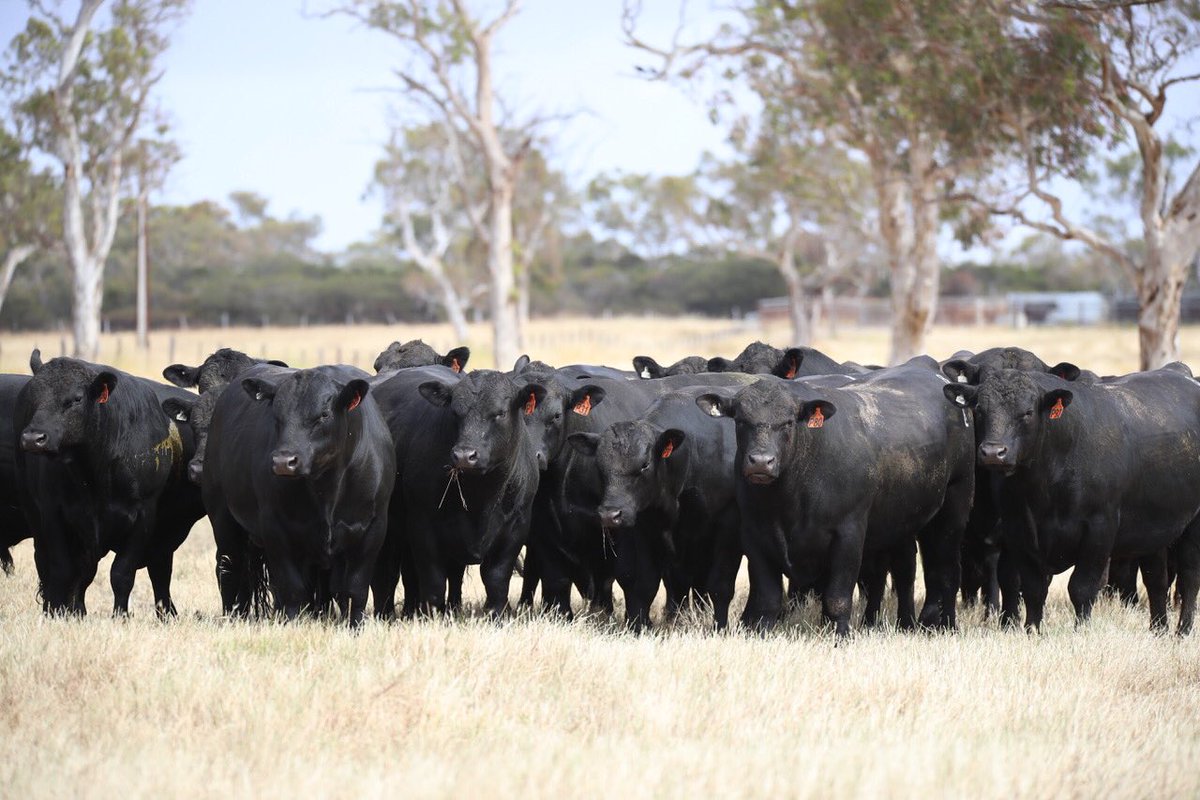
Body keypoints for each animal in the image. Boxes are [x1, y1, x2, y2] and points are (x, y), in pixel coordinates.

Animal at [14, 350, 204, 616]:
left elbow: (121, 573)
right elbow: (63, 570)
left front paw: (120, 616)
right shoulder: (52, 514)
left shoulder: (144, 516)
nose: (33, 438)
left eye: (77, 399)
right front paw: (58, 614)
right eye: (34, 396)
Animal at [568, 386, 742, 629]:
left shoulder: (728, 528)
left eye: (645, 464)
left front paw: (720, 627)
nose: (610, 515)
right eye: (600, 466)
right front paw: (639, 626)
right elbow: (644, 584)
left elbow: (720, 586)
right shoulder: (643, 528)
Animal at [697, 359, 975, 636]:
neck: (790, 499)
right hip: (900, 524)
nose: (761, 462)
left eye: (788, 422)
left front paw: (840, 636)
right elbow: (767, 599)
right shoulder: (755, 535)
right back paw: (904, 623)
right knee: (902, 570)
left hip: (954, 507)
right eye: (741, 421)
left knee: (946, 571)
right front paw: (762, 634)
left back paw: (944, 624)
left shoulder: (848, 535)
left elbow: (837, 598)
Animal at [943, 365, 1200, 633]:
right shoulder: (1019, 530)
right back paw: (1158, 629)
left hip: (1193, 526)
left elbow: (1081, 588)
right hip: (1154, 529)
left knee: (1189, 578)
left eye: (1027, 412)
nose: (993, 452)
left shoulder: (1099, 529)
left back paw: (1183, 630)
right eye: (979, 409)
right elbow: (1033, 589)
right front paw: (1032, 630)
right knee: (1156, 579)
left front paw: (1081, 631)